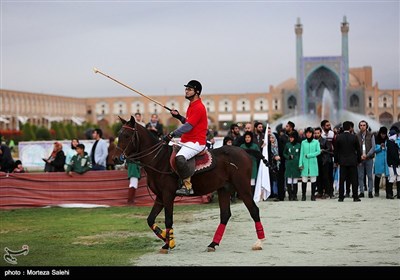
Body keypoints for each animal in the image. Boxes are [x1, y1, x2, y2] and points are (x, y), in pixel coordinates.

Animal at [115, 117, 266, 253]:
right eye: (119, 135)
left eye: (127, 135)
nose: (116, 159)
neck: (158, 160)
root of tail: (244, 151)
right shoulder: (160, 196)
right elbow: (150, 219)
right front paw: (166, 238)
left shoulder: (168, 195)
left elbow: (168, 219)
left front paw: (168, 243)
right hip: (224, 188)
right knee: (225, 214)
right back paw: (212, 244)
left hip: (243, 187)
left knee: (254, 210)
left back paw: (259, 242)